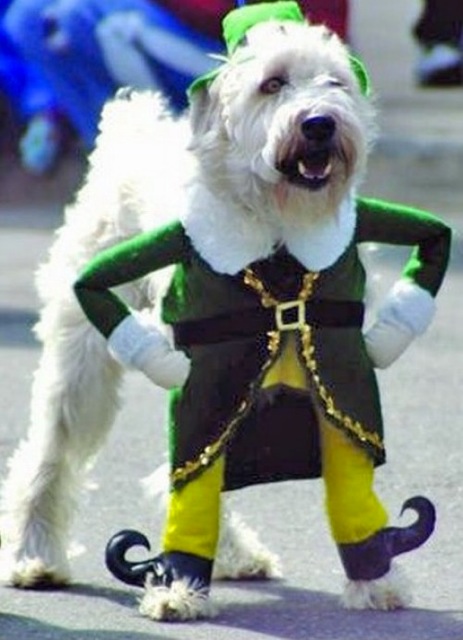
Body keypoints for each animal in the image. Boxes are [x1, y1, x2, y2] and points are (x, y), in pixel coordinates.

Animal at [0, 0, 450, 620]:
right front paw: (177, 590)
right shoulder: (212, 369)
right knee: (51, 452)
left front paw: (376, 583)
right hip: (83, 356)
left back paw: (234, 553)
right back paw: (34, 555)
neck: (278, 227)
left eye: (335, 82)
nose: (320, 123)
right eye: (272, 84)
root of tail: (130, 128)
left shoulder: (316, 373)